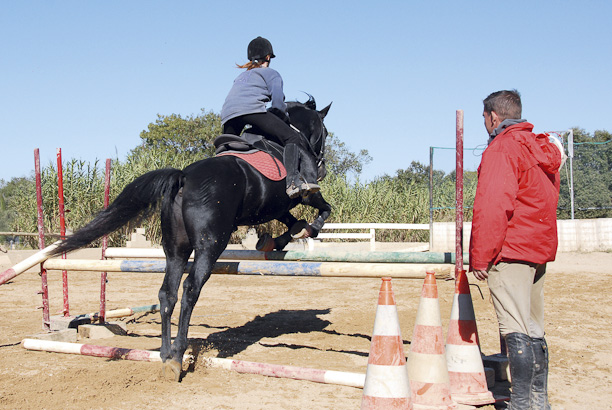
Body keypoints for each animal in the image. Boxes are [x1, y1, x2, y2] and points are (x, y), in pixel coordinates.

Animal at [49, 97, 332, 382]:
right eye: (325, 132)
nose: (321, 167)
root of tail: (183, 177)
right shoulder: (299, 195)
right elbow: (322, 208)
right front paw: (302, 231)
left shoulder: (274, 207)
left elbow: (292, 221)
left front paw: (278, 239)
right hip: (210, 246)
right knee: (190, 289)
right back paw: (177, 354)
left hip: (175, 249)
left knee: (167, 293)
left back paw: (165, 355)